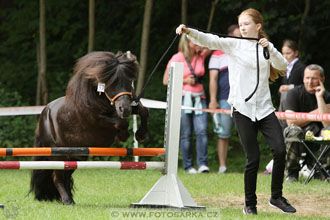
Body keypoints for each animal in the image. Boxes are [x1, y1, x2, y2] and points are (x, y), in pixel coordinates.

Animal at [30, 51, 149, 205]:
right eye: (112, 83)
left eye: (129, 82)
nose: (125, 109)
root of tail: (43, 118)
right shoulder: (97, 120)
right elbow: (121, 122)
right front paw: (123, 135)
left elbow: (144, 111)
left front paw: (141, 134)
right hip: (58, 154)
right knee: (57, 177)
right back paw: (67, 200)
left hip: (76, 156)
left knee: (66, 175)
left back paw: (70, 199)